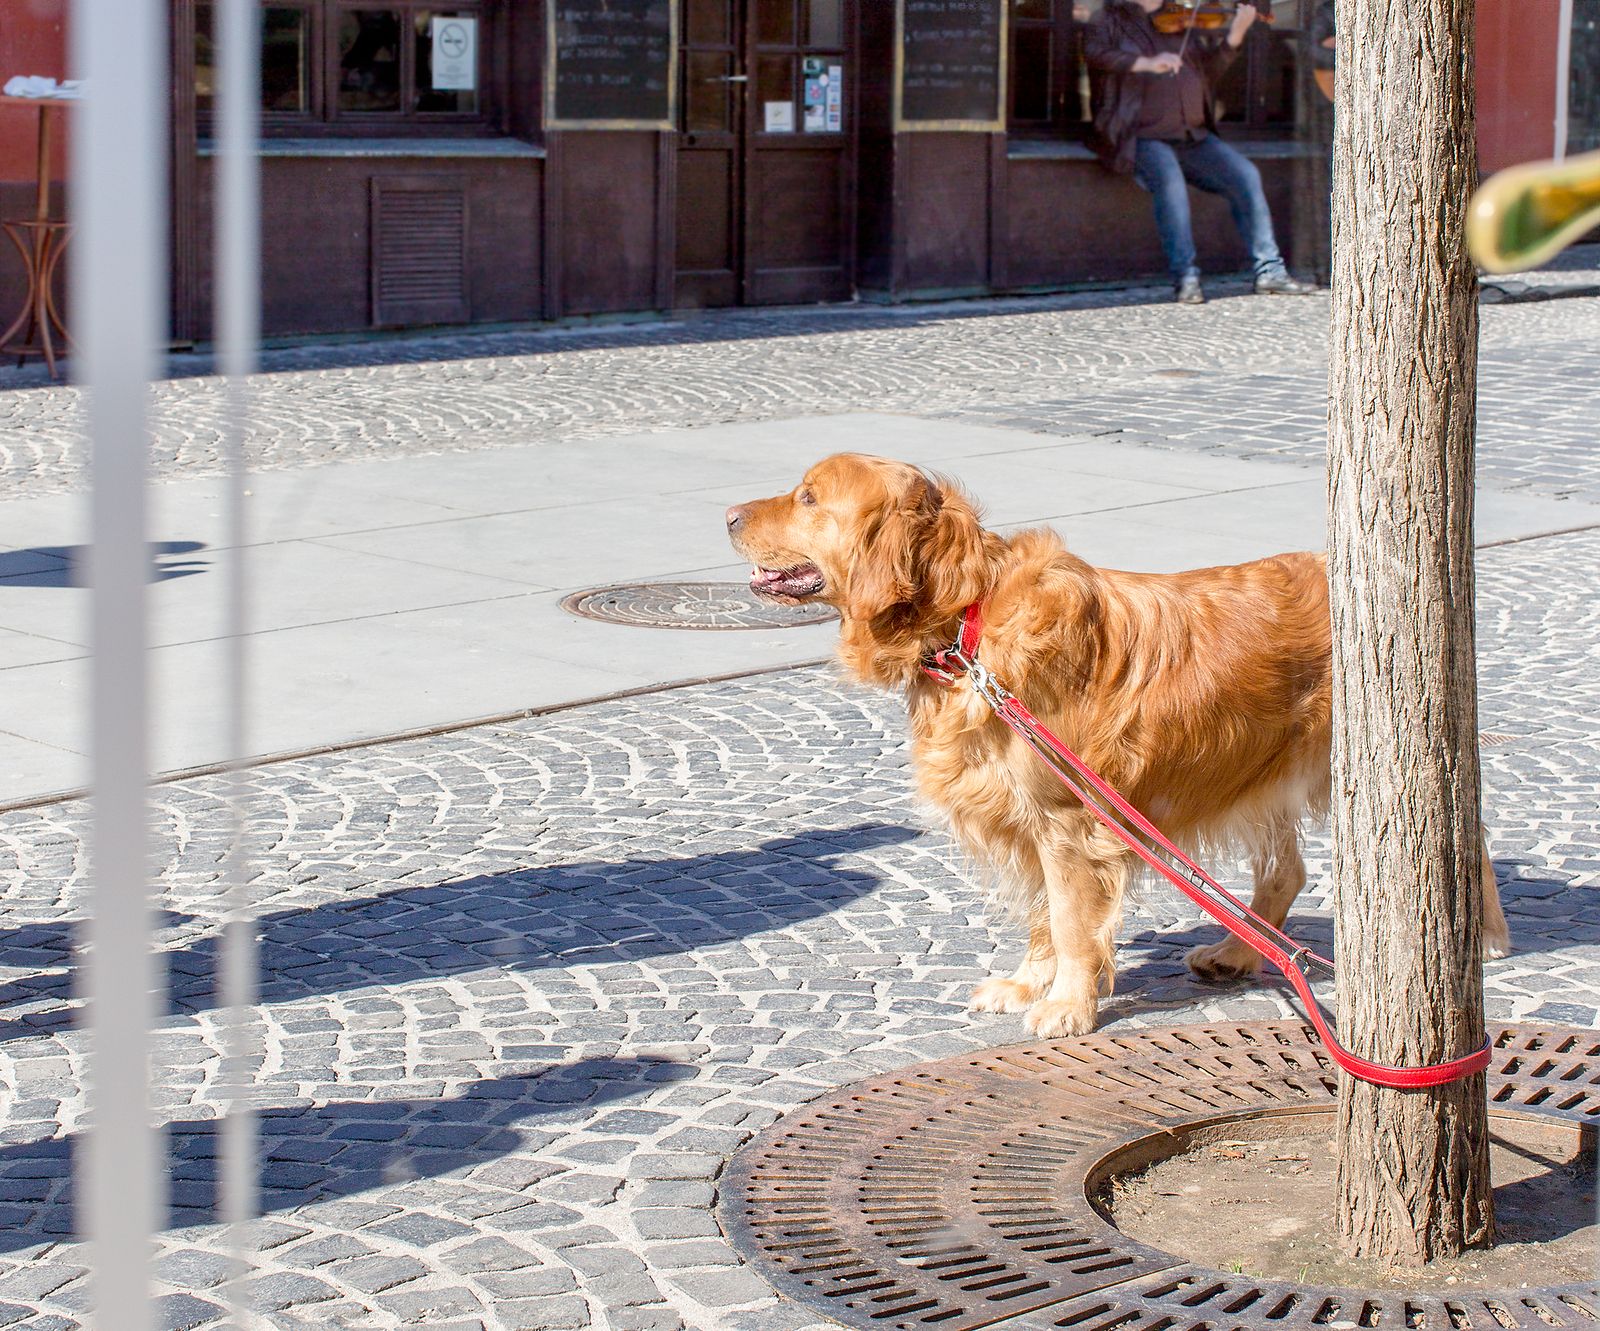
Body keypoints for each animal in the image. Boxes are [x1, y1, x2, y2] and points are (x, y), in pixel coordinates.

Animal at [729, 457, 1510, 1036]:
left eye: (808, 496)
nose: (729, 515)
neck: (968, 624)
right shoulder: (1032, 824)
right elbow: (1044, 918)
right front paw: (1030, 983)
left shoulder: (1072, 822)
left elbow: (1072, 923)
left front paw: (1069, 1006)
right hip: (1261, 770)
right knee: (1286, 873)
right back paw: (1236, 952)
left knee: (1465, 838)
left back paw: (1482, 934)